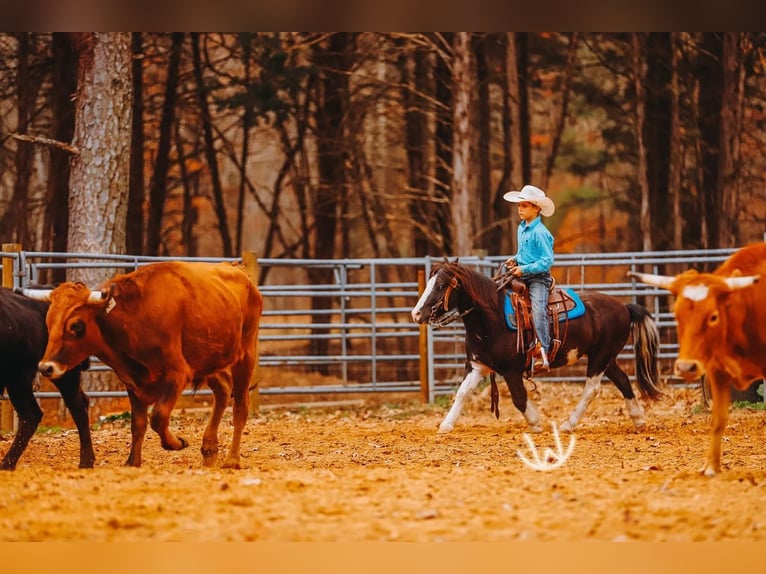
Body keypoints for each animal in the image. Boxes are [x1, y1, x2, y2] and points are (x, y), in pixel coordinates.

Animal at [411, 259, 663, 434]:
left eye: (441, 285)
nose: (416, 314)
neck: (491, 319)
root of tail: (624, 306)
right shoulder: (476, 365)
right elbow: (462, 393)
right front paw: (446, 424)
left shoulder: (511, 371)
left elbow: (519, 398)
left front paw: (535, 422)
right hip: (605, 358)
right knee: (622, 380)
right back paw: (638, 420)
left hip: (600, 358)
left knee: (591, 389)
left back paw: (567, 424)